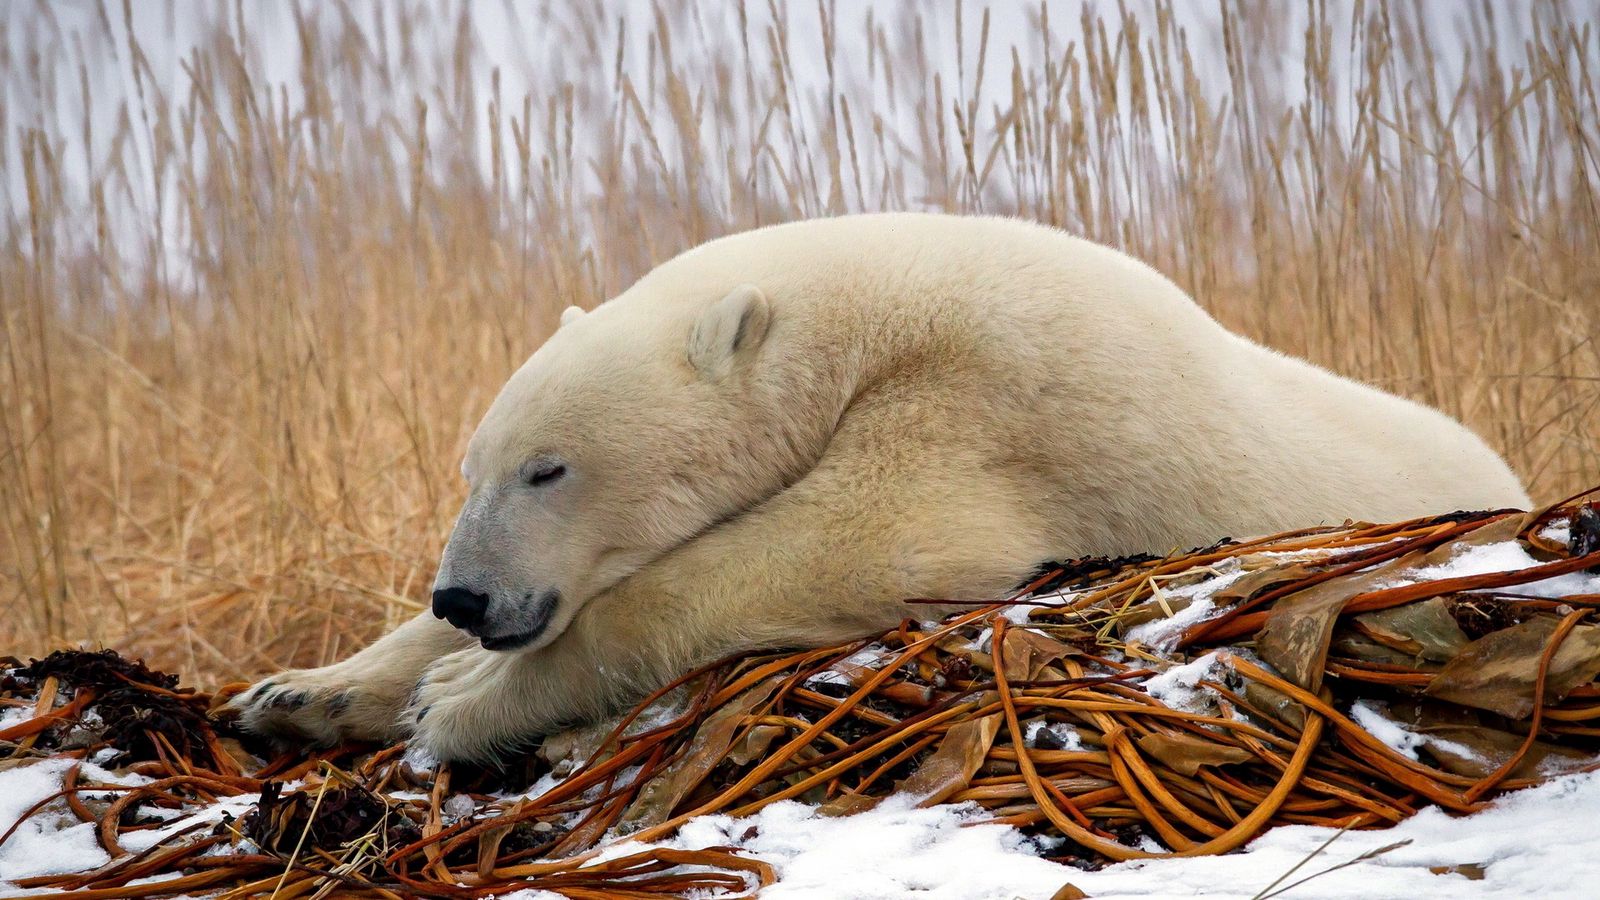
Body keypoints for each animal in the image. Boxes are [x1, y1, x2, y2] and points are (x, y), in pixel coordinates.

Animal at [232, 212, 1529, 759]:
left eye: (547, 468)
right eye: (473, 467)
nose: (465, 597)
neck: (867, 308)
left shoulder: (983, 397)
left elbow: (858, 545)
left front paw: (457, 705)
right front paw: (301, 694)